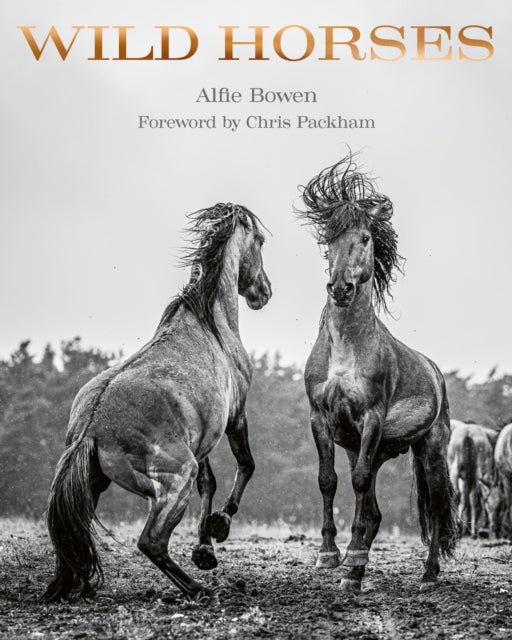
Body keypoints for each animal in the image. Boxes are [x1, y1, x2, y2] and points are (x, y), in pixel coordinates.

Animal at [42, 203, 272, 604]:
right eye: (259, 240)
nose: (265, 292)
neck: (211, 323)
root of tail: (91, 427)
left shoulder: (202, 437)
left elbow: (210, 483)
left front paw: (205, 550)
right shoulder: (235, 416)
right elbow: (246, 465)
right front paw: (220, 526)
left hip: (94, 485)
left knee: (73, 537)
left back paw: (74, 586)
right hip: (175, 479)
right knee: (151, 542)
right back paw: (199, 590)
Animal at [298, 154, 458, 594]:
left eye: (367, 238)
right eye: (328, 239)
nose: (340, 289)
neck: (345, 348)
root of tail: (436, 373)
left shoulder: (370, 417)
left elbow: (357, 482)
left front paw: (351, 561)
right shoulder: (321, 419)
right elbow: (328, 480)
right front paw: (330, 556)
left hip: (430, 449)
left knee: (435, 506)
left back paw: (427, 574)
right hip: (374, 446)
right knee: (374, 509)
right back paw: (360, 566)